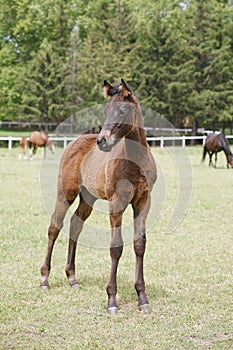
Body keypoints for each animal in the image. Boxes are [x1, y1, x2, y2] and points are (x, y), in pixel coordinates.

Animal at [40, 78, 157, 312]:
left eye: (122, 110)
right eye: (106, 110)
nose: (102, 141)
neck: (135, 161)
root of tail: (73, 142)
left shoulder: (143, 201)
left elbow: (139, 244)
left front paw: (142, 297)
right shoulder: (117, 202)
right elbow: (116, 247)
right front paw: (111, 299)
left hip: (88, 198)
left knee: (75, 225)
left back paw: (72, 278)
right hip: (65, 193)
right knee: (54, 227)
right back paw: (45, 279)